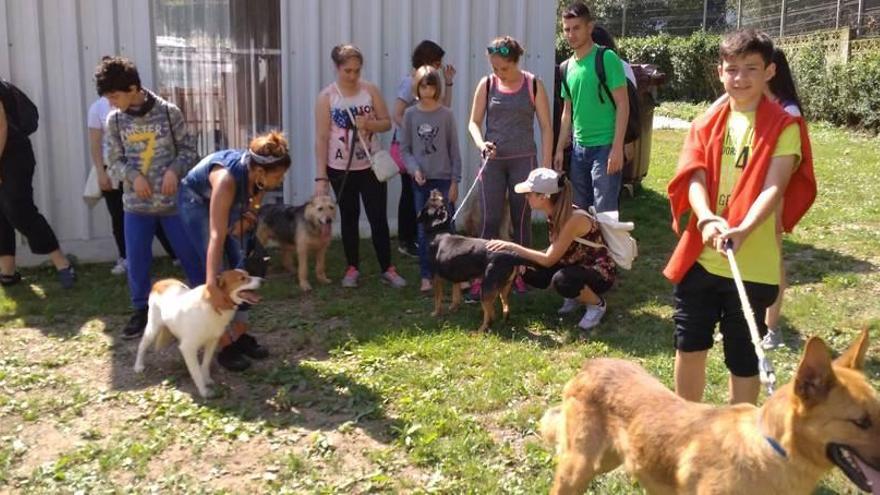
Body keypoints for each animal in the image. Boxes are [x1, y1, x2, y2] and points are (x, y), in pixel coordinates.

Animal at [132, 272, 260, 400]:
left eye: (248, 274)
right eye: (242, 279)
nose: (262, 280)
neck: (212, 304)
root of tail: (161, 282)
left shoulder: (212, 342)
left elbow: (205, 364)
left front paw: (206, 379)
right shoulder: (188, 348)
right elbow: (196, 371)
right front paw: (203, 391)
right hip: (153, 328)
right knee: (142, 346)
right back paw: (138, 366)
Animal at [418, 190, 532, 334]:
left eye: (434, 200)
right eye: (439, 199)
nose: (434, 190)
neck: (439, 232)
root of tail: (510, 256)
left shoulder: (436, 276)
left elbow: (438, 298)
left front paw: (435, 313)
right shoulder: (457, 276)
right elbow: (456, 295)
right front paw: (453, 308)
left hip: (486, 288)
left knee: (489, 317)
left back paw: (479, 331)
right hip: (504, 288)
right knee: (504, 308)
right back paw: (502, 322)